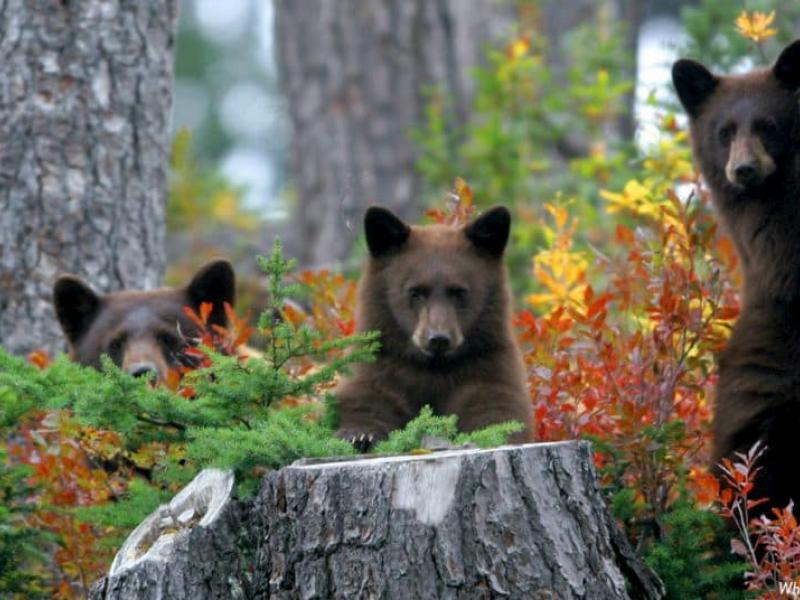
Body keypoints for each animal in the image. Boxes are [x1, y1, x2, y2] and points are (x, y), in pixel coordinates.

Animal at [334, 205, 534, 450]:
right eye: (415, 292)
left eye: (458, 292)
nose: (438, 338)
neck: (433, 369)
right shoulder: (380, 364)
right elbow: (368, 398)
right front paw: (359, 435)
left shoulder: (489, 366)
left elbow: (496, 409)